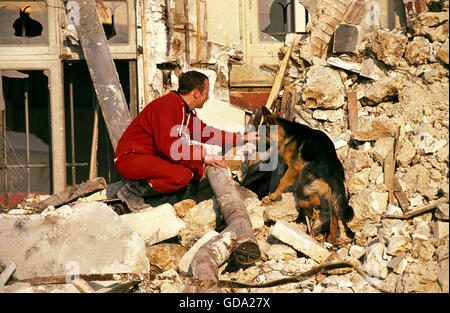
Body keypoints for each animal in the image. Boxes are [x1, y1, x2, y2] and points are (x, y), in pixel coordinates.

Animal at [262, 106, 354, 243]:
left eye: (261, 134)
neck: (288, 132)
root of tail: (333, 175)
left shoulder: (294, 168)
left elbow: (283, 182)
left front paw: (273, 196)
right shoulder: (297, 170)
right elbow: (298, 185)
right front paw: (296, 191)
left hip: (306, 170)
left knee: (317, 202)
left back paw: (302, 204)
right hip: (331, 198)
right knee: (334, 220)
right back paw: (331, 239)